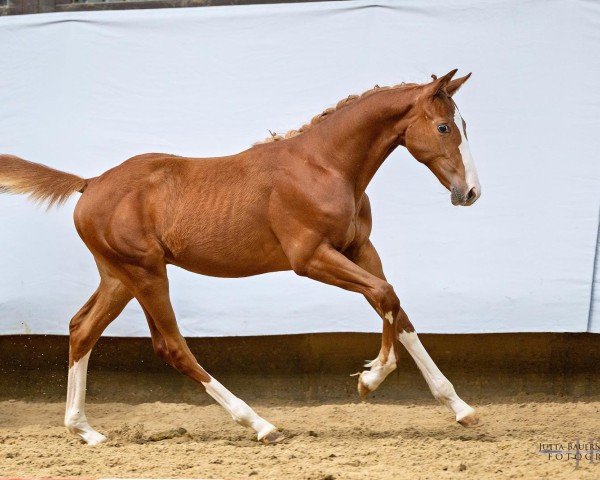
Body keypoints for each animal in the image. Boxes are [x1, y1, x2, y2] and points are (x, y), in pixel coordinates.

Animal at [0, 68, 478, 446]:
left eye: (464, 124)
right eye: (443, 128)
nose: (470, 192)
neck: (325, 166)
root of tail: (90, 183)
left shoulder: (359, 249)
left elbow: (395, 306)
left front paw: (459, 406)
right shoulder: (310, 258)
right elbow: (385, 295)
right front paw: (370, 377)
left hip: (119, 276)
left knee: (82, 329)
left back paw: (85, 430)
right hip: (146, 273)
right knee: (171, 346)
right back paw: (260, 424)